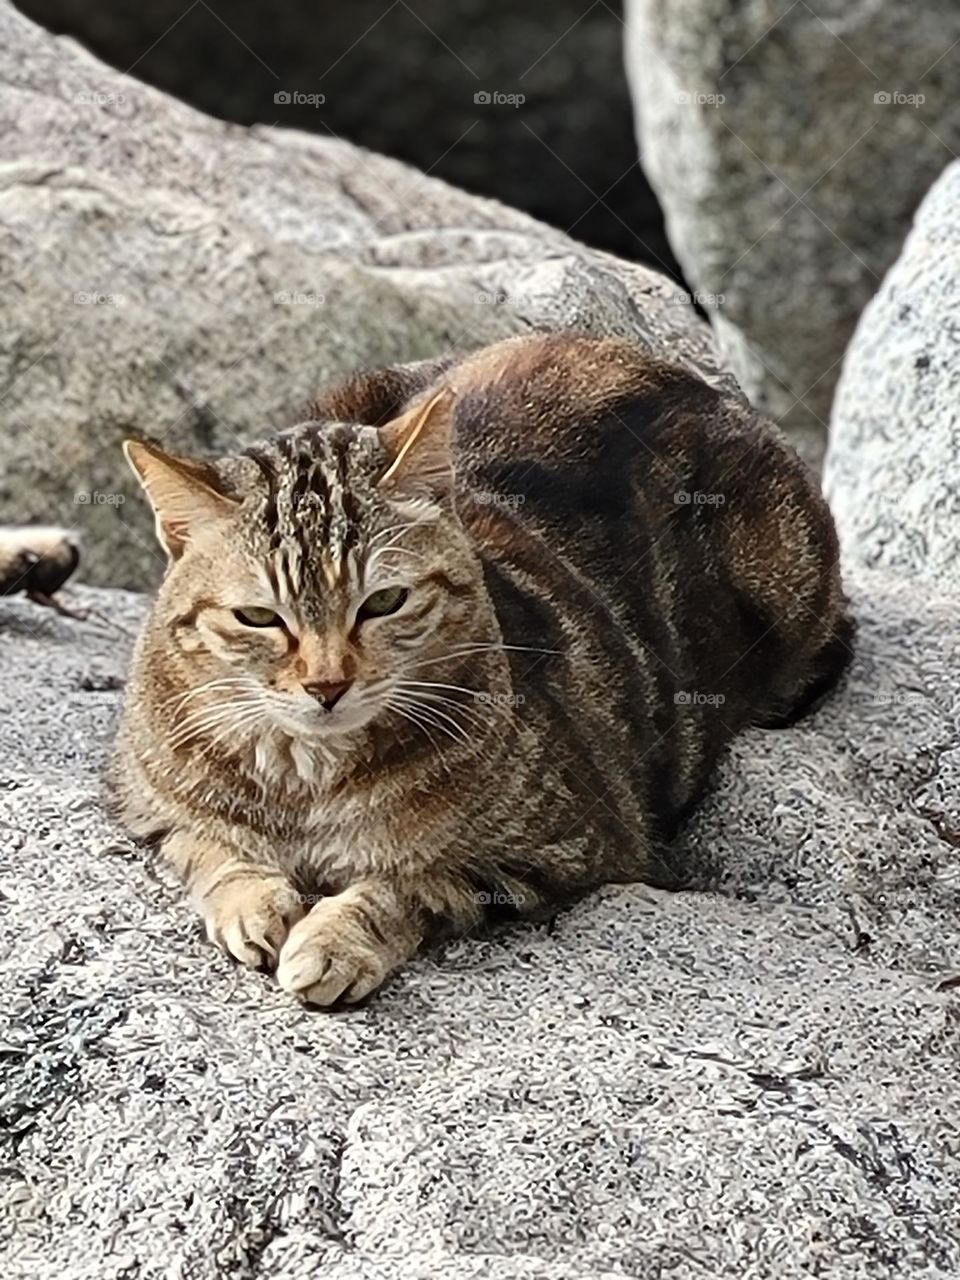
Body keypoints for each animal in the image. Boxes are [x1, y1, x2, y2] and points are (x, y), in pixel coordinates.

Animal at [108, 335, 855, 1003]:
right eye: (259, 617)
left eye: (383, 602)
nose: (327, 685)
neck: (309, 786)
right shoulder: (143, 800)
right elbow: (213, 849)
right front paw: (254, 904)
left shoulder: (563, 847)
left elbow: (408, 886)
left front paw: (334, 942)